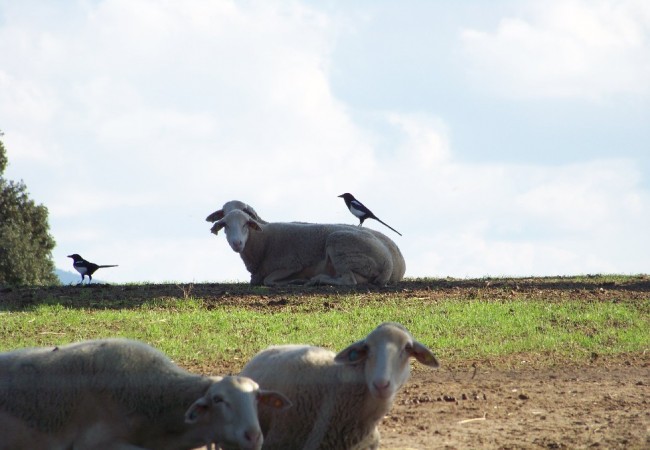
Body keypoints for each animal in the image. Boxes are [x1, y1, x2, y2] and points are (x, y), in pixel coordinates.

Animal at [208, 209, 402, 286]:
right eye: (225, 225)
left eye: (245, 224)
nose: (237, 243)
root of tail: (388, 263)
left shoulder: (292, 264)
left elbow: (269, 280)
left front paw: (295, 281)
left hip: (339, 245)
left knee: (348, 280)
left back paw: (317, 279)